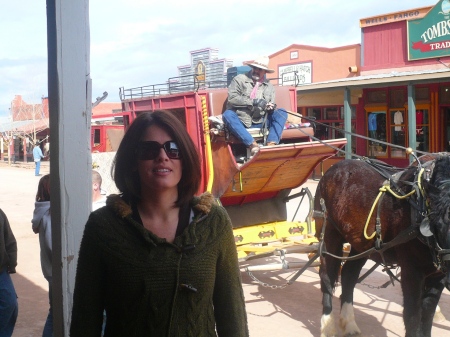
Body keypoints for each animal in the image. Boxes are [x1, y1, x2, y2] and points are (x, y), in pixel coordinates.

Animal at [314, 154, 450, 334]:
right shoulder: (412, 271)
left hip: (360, 245)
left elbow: (427, 315)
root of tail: (331, 170)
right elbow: (412, 316)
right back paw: (328, 326)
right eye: (438, 224)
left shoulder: (438, 276)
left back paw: (349, 323)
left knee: (348, 275)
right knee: (327, 277)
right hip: (330, 235)